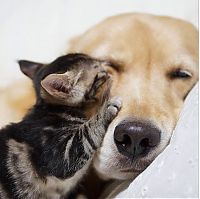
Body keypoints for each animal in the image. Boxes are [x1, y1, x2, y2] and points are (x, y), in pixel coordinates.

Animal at [0, 53, 122, 198]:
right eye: (98, 71)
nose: (104, 63)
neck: (56, 109)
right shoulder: (61, 153)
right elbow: (87, 133)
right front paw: (108, 107)